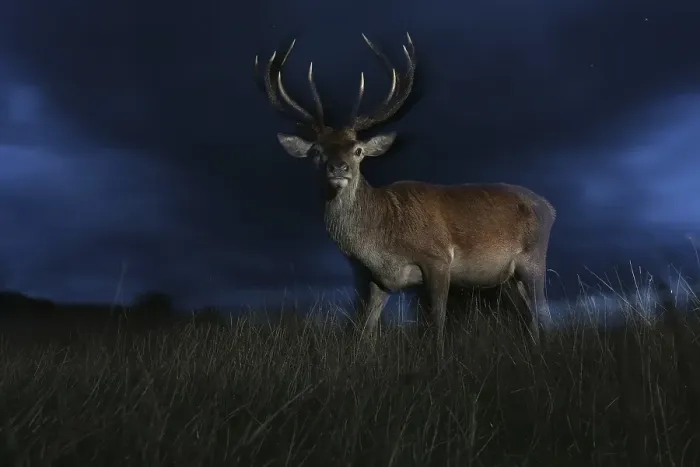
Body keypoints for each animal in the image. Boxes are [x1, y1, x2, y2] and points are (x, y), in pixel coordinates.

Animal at [254, 33, 556, 350]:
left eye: (358, 150)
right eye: (317, 151)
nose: (338, 168)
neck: (382, 242)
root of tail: (550, 207)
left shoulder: (438, 258)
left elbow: (436, 324)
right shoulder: (378, 280)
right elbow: (364, 329)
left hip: (534, 259)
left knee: (544, 315)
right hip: (507, 279)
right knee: (528, 317)